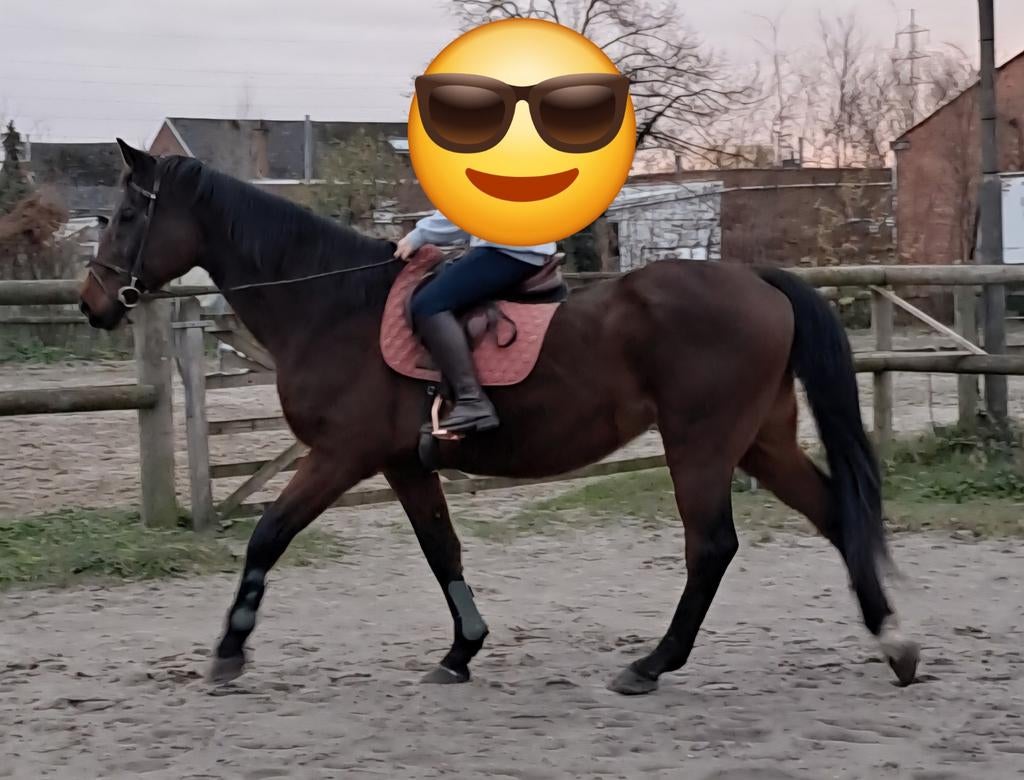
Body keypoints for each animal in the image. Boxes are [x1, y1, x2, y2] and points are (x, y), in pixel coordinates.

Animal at [79, 140, 919, 695]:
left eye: (122, 216)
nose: (91, 303)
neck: (331, 305)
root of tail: (759, 280)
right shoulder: (403, 462)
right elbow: (441, 551)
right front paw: (462, 652)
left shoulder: (341, 456)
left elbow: (267, 537)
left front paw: (229, 652)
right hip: (759, 443)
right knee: (836, 516)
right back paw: (896, 645)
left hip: (702, 444)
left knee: (711, 546)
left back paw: (652, 664)